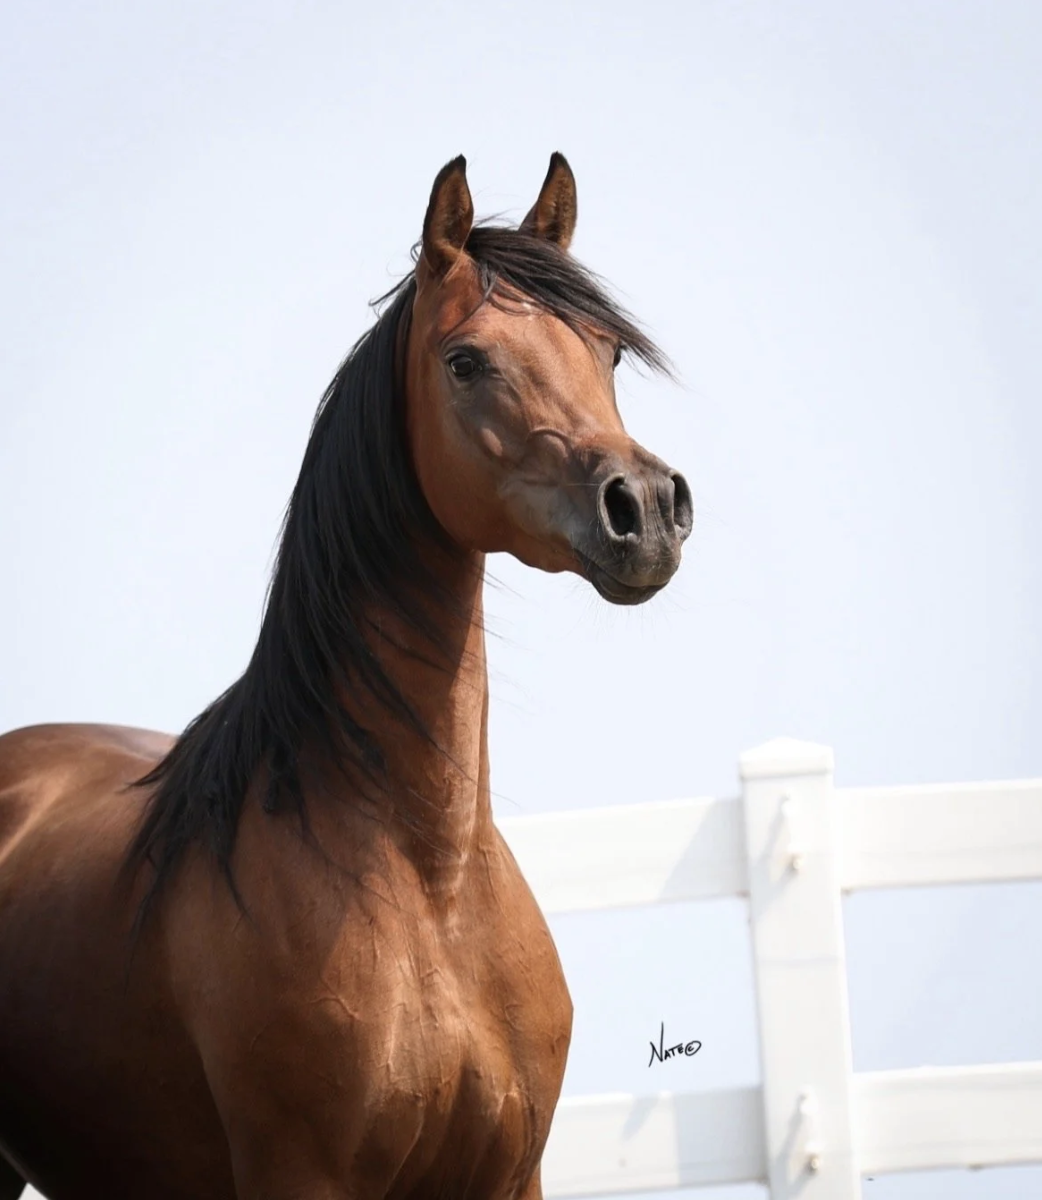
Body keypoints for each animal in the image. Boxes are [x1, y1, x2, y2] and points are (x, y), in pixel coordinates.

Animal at [0, 153, 692, 1200]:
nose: (645, 509)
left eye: (608, 353)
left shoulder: (512, 1175)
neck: (430, 884)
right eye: (465, 361)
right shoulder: (300, 1174)